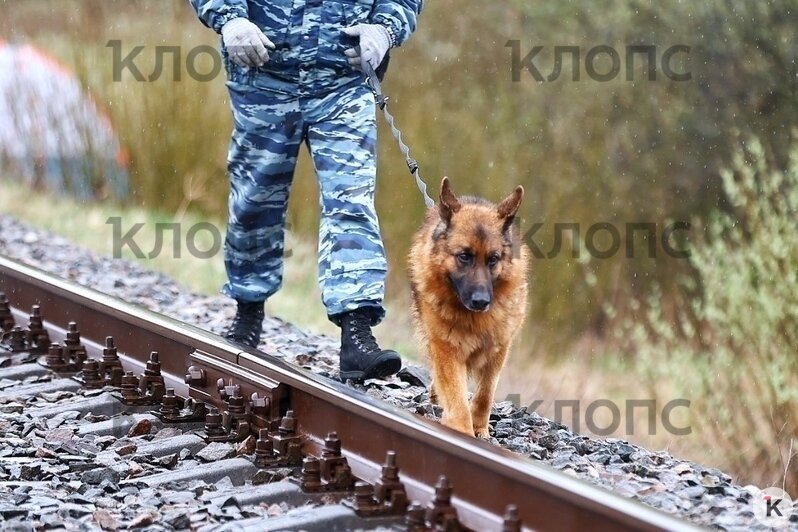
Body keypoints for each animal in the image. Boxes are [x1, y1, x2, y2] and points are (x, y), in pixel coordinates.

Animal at [410, 178, 528, 436]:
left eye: (493, 259)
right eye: (464, 256)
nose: (481, 302)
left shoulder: (499, 349)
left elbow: (485, 394)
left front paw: (480, 429)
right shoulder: (447, 349)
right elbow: (457, 398)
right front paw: (462, 430)